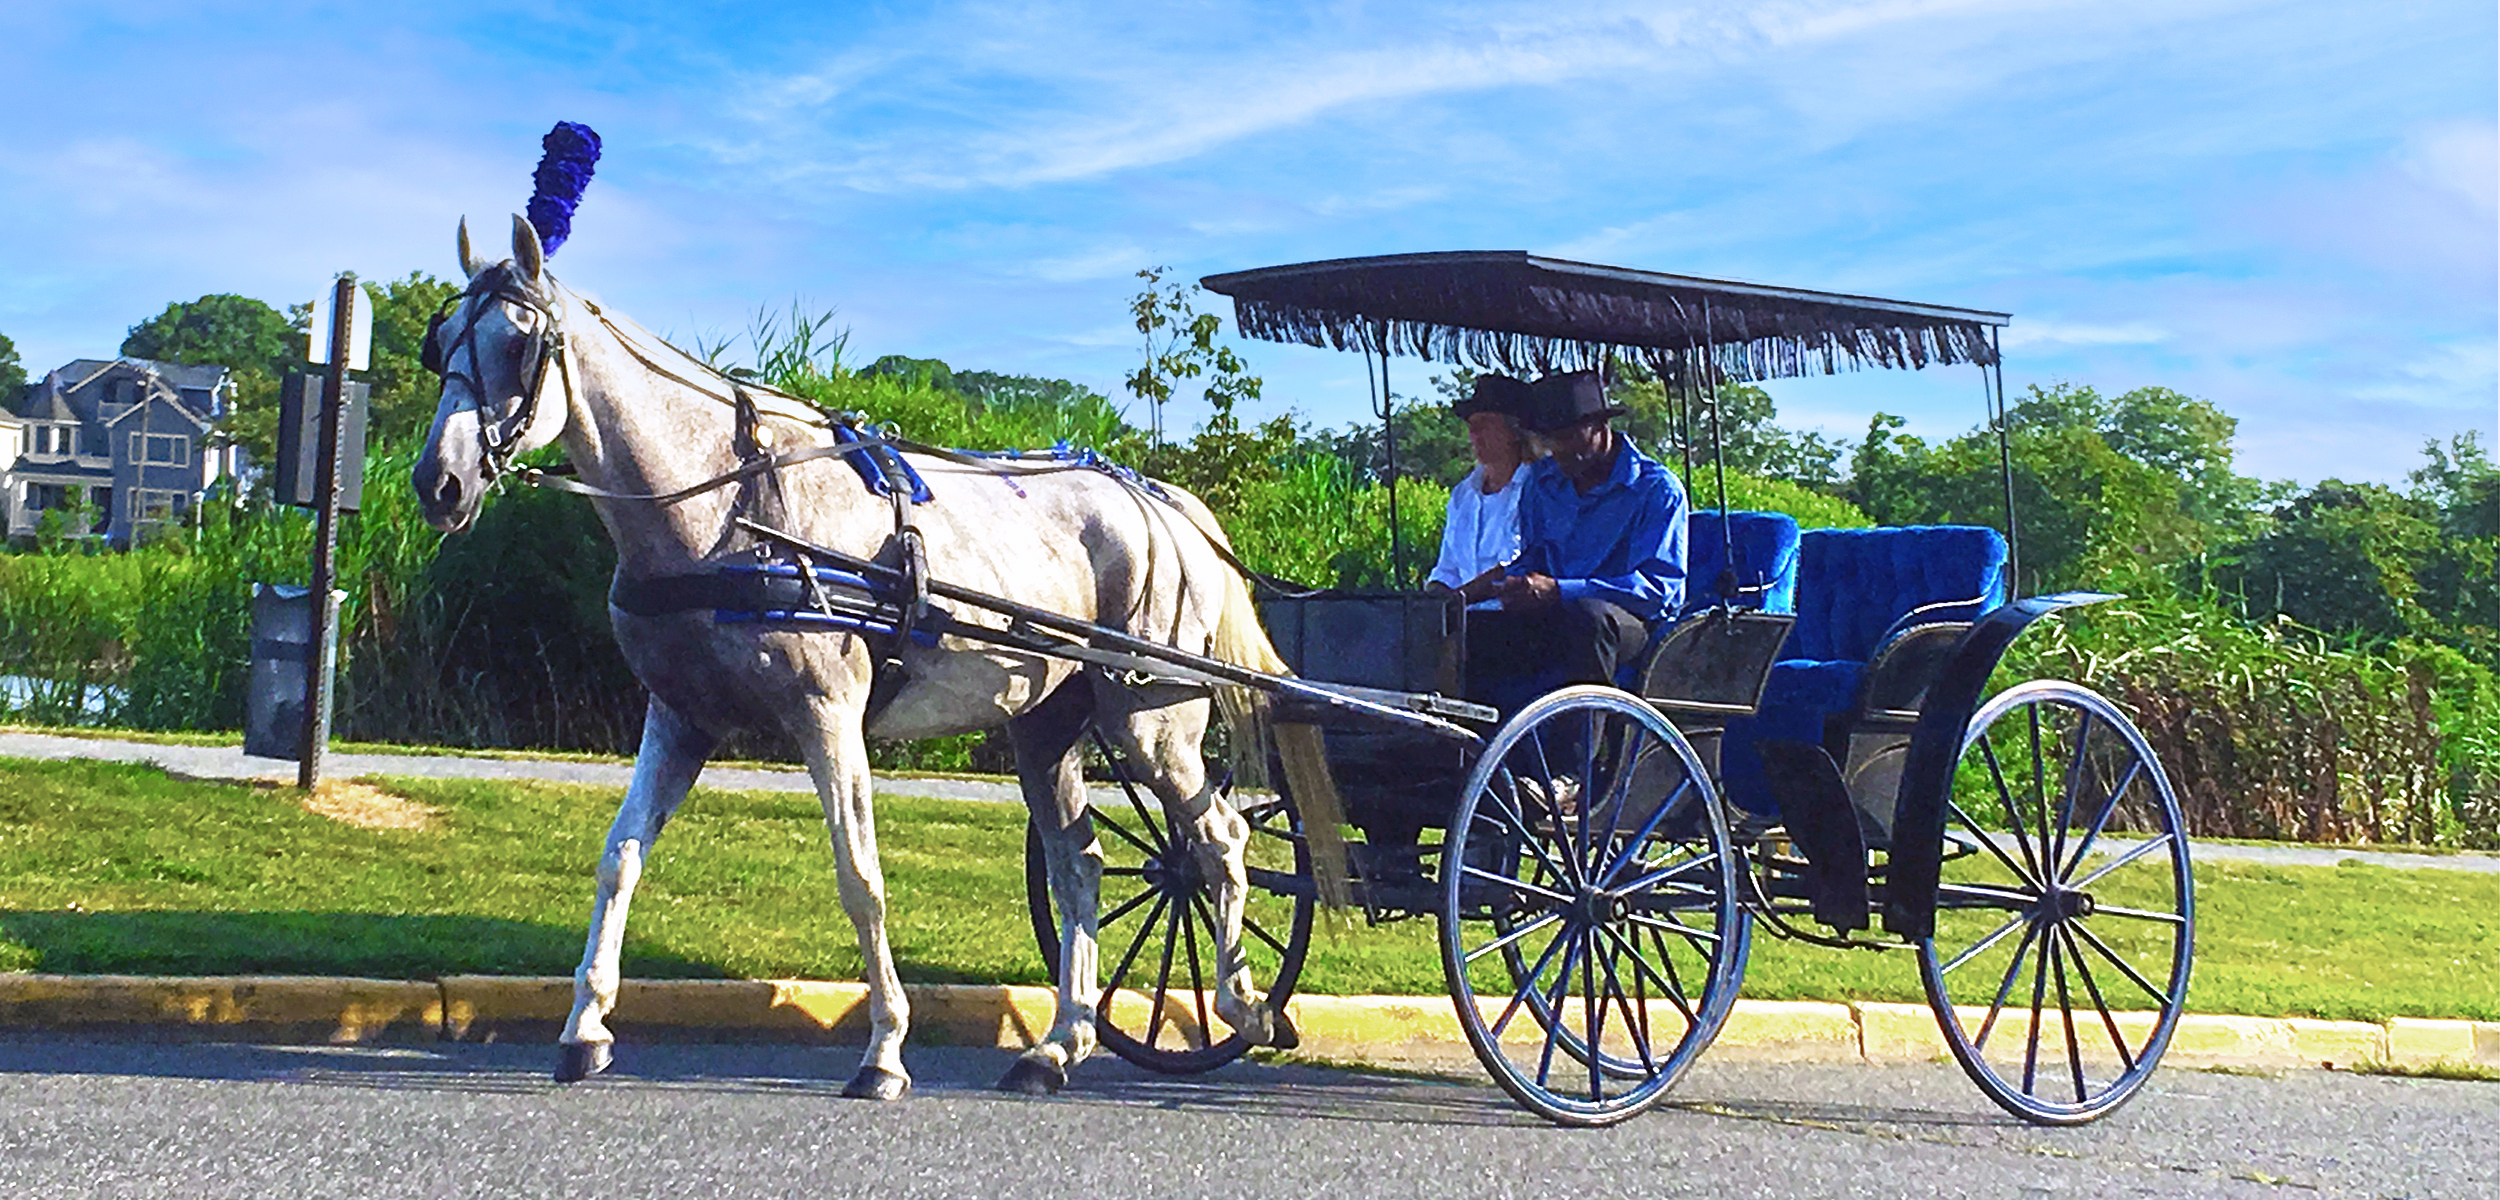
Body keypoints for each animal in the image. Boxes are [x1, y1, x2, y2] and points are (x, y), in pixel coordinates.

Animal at [405, 215, 1310, 1095]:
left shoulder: (828, 714)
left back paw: (1245, 1005)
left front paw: (884, 1049)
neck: (730, 506)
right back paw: (1058, 1046)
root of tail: (1161, 501)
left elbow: (860, 876)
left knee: (1218, 842)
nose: (437, 483)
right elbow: (621, 857)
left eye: (520, 345)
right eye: (441, 340)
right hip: (1046, 726)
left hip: (1152, 722)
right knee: (1081, 867)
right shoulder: (681, 718)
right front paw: (586, 1029)